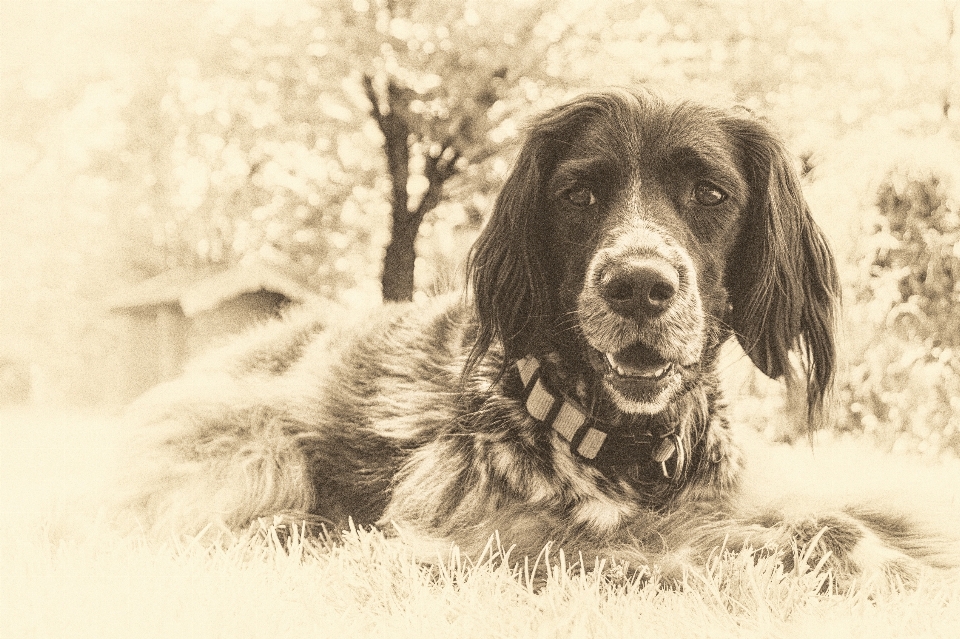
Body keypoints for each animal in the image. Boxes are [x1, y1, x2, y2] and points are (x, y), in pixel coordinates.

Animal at [118, 89, 952, 592]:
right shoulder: (477, 536)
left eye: (711, 193)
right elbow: (669, 551)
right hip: (261, 440)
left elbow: (855, 516)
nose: (638, 284)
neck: (634, 452)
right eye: (578, 194)